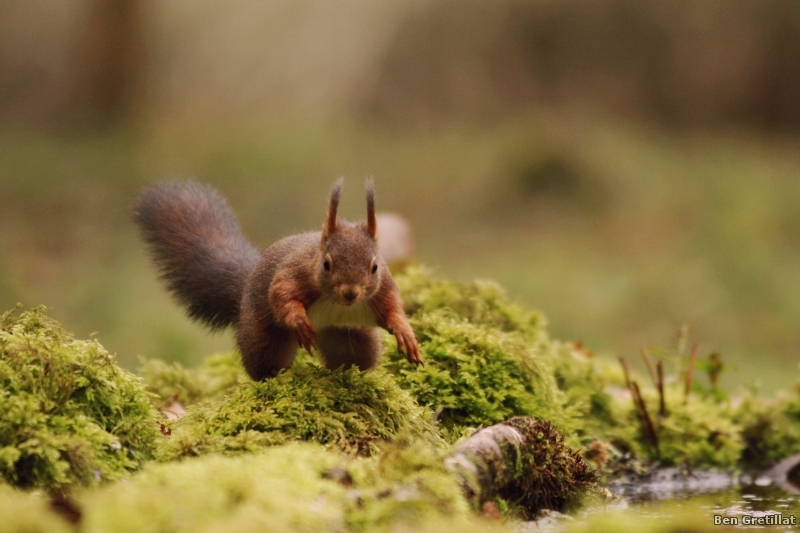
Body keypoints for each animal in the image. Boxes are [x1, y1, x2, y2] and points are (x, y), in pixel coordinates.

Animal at [134, 179, 422, 378]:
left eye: (375, 267)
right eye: (326, 264)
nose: (350, 293)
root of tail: (247, 283)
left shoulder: (383, 289)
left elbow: (393, 308)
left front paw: (405, 333)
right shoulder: (293, 273)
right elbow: (282, 294)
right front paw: (298, 319)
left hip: (352, 337)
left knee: (355, 360)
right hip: (262, 336)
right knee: (264, 362)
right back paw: (274, 377)